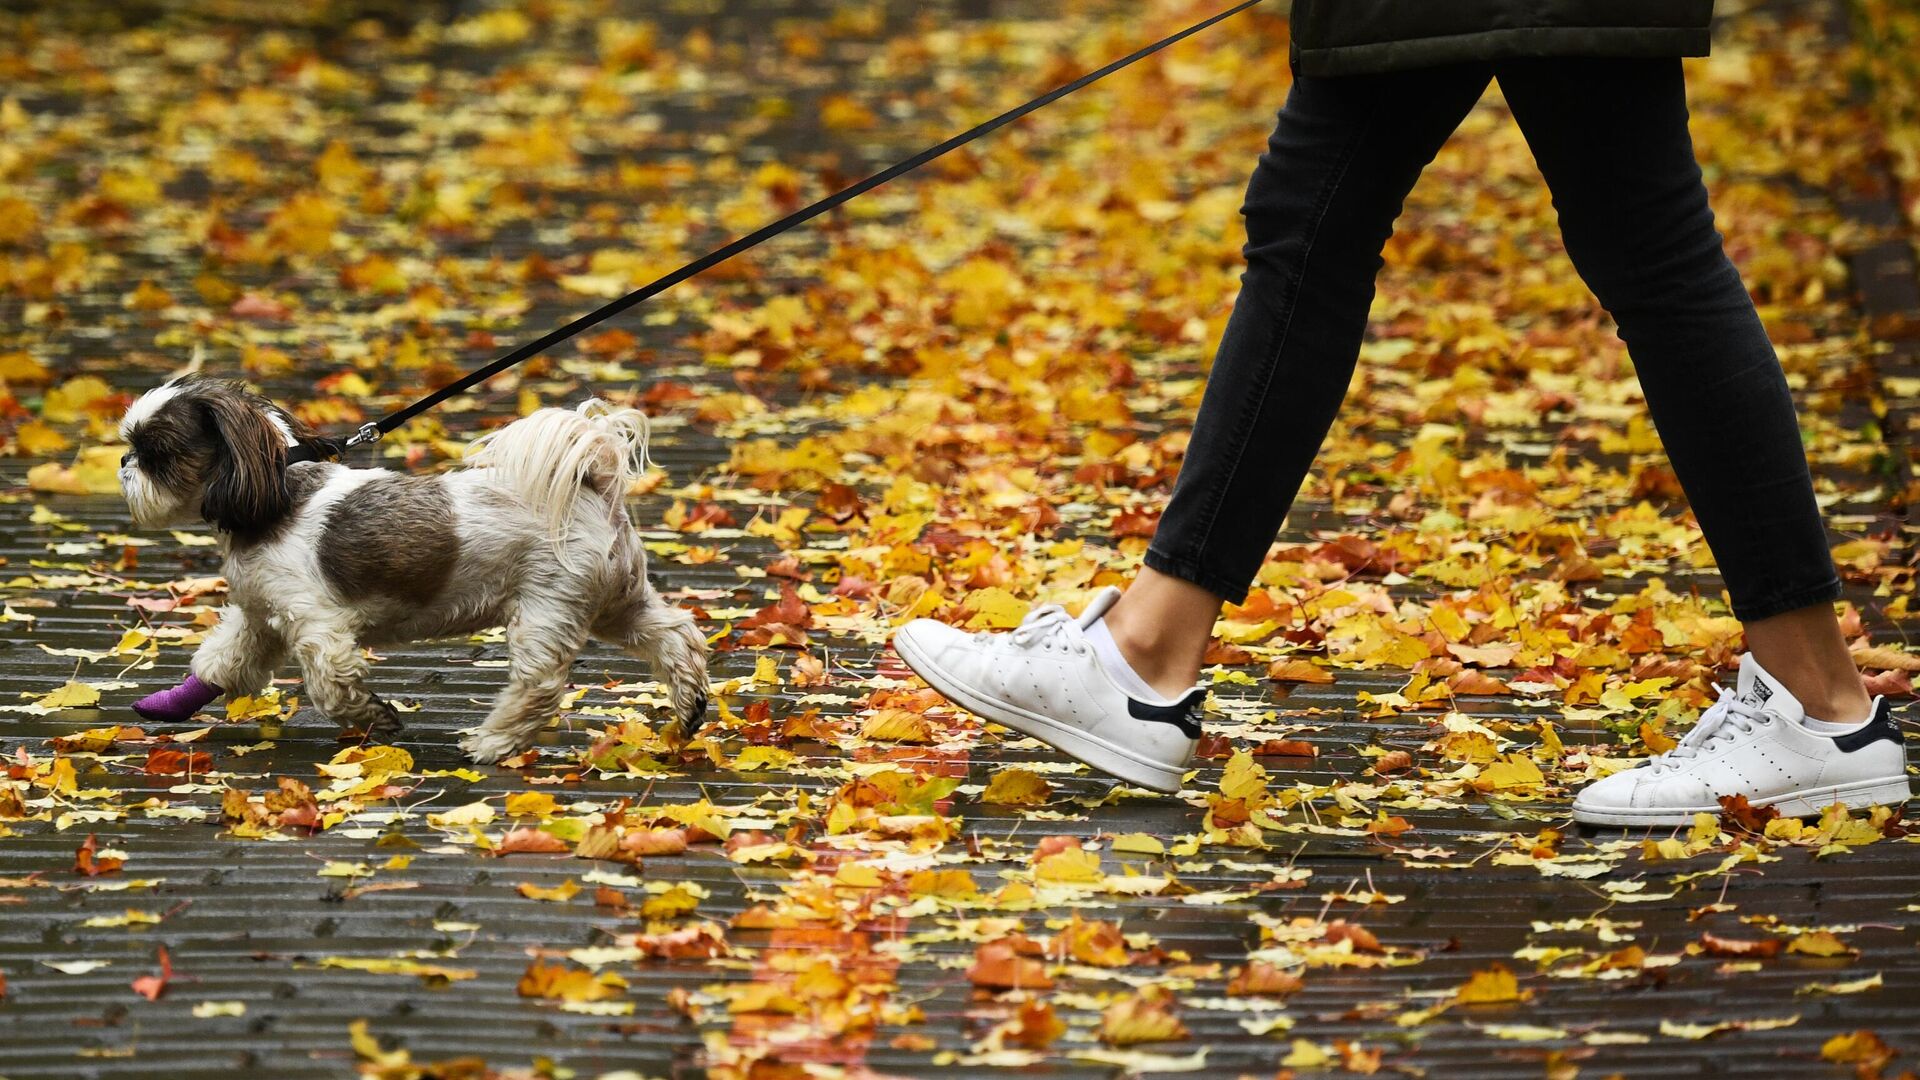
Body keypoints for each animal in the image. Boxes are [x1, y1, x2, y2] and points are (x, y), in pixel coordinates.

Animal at [114, 374, 714, 760]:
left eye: (156, 452)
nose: (123, 462)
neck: (273, 497)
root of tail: (596, 482)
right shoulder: (262, 615)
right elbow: (222, 663)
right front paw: (170, 703)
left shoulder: (316, 627)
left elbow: (332, 687)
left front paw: (375, 718)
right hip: (617, 601)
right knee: (676, 636)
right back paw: (689, 708)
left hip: (549, 604)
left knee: (540, 685)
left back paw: (492, 743)